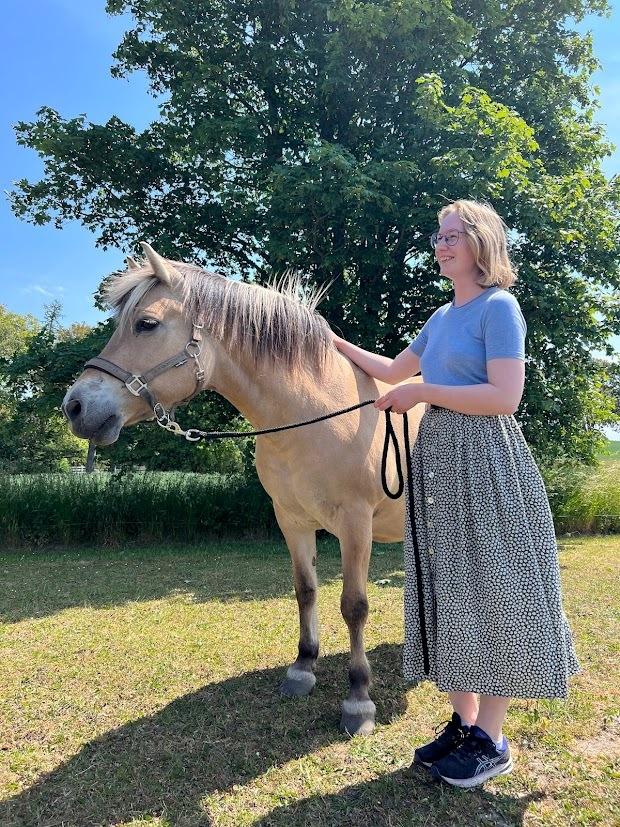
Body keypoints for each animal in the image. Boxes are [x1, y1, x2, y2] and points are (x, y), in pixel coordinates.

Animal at [62, 242, 424, 735]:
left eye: (146, 324)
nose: (75, 406)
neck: (314, 413)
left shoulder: (355, 525)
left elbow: (354, 605)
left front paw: (358, 699)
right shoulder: (291, 520)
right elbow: (305, 590)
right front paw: (302, 669)